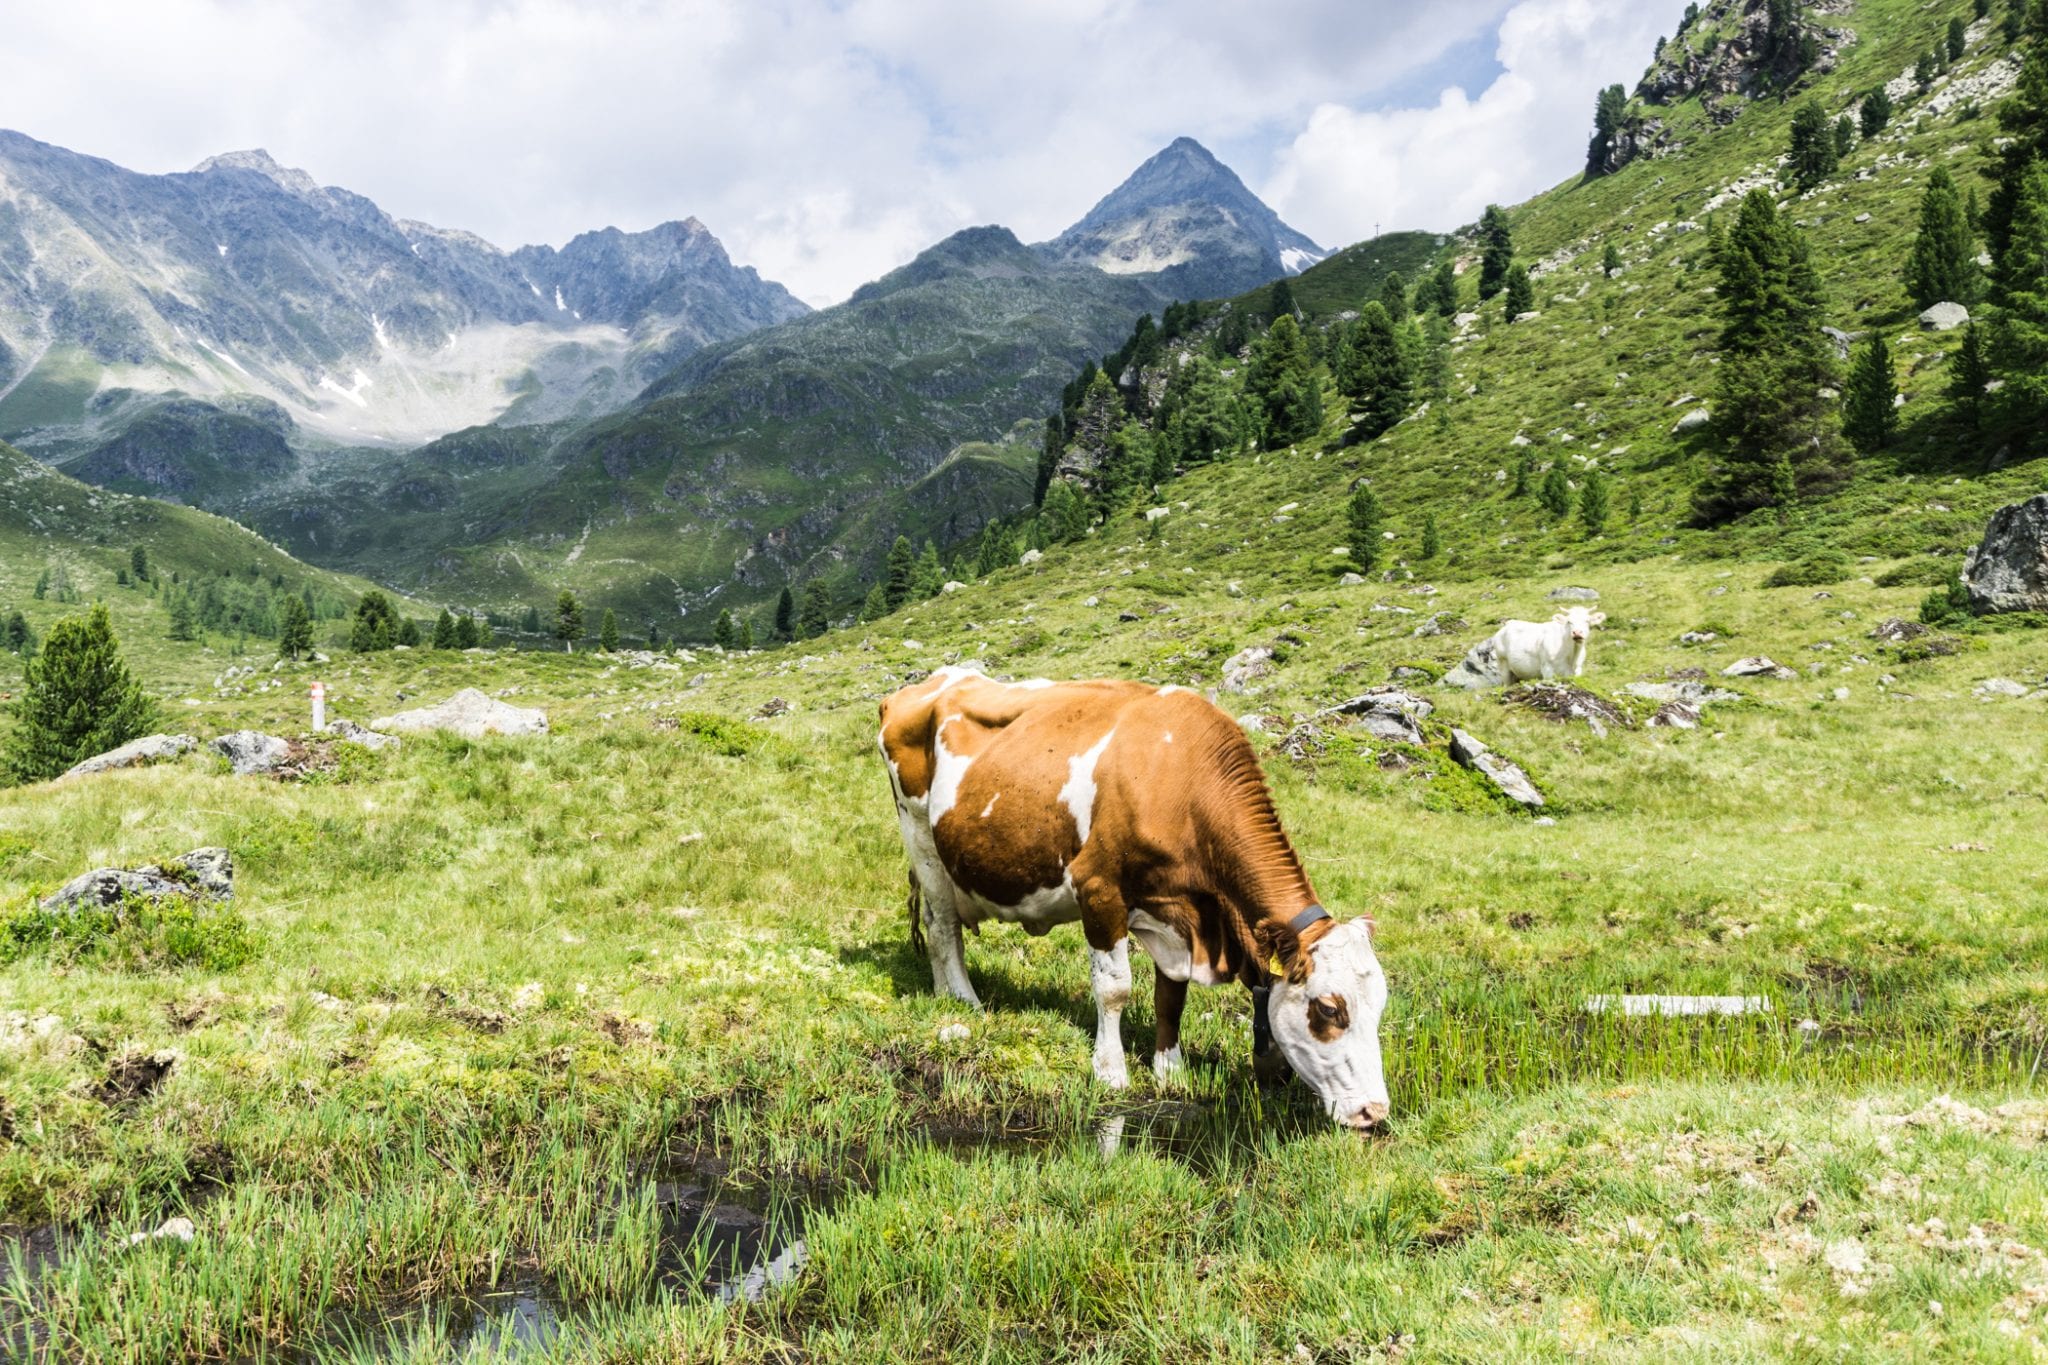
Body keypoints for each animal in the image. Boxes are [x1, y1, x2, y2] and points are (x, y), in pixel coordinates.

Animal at [880, 667, 1392, 1129]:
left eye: (1380, 1006)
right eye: (1329, 1008)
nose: (1374, 1112)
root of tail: (931, 682)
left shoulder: (1180, 912)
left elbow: (1171, 994)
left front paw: (1171, 1069)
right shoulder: (1098, 889)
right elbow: (1114, 988)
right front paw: (1111, 1072)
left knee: (938, 926)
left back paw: (946, 994)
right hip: (921, 837)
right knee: (943, 926)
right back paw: (967, 1001)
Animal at [1449, 609, 1605, 687]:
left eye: (1587, 621)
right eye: (1569, 622)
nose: (1577, 633)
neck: (1571, 655)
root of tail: (1506, 626)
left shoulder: (1577, 671)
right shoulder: (1547, 670)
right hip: (1503, 665)